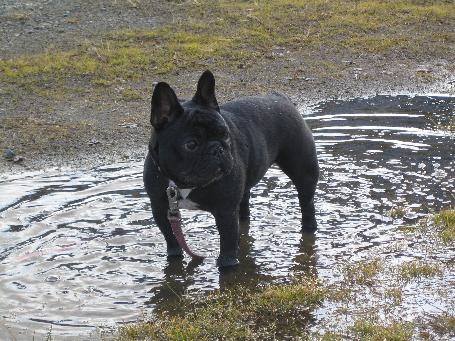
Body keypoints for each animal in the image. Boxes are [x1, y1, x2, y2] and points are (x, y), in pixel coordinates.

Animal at [144, 70, 318, 266]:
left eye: (225, 134)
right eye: (191, 144)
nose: (217, 149)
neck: (183, 184)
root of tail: (279, 97)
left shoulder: (225, 212)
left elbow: (227, 245)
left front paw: (227, 265)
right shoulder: (160, 208)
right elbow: (171, 237)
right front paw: (174, 256)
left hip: (304, 171)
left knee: (307, 203)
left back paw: (309, 230)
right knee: (243, 206)